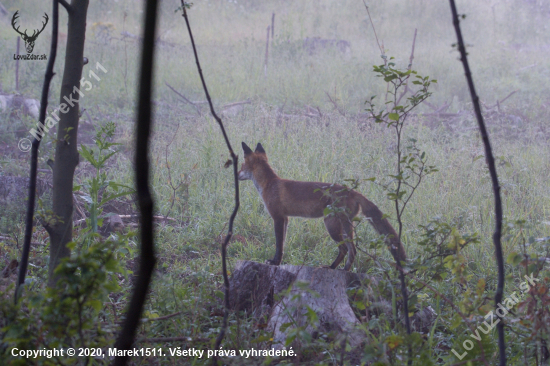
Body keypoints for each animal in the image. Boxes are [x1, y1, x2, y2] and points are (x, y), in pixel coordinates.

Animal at [239, 143, 408, 272]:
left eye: (241, 166)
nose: (237, 173)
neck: (269, 184)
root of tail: (353, 191)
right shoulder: (286, 219)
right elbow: (283, 244)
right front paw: (277, 261)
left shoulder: (278, 217)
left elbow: (279, 244)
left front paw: (275, 262)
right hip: (343, 226)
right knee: (349, 249)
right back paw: (337, 268)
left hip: (331, 224)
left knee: (348, 249)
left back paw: (338, 269)